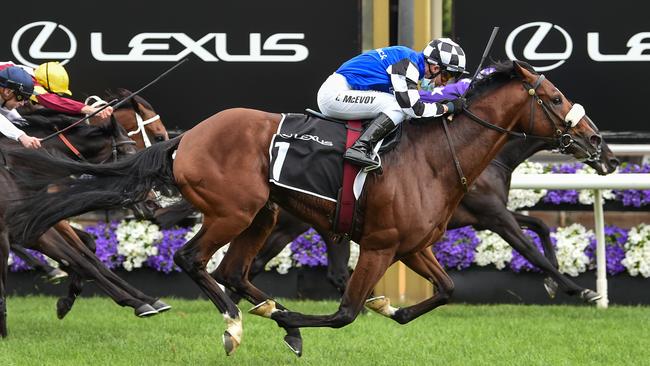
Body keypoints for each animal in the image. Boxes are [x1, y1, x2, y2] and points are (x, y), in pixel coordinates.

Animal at [5, 61, 604, 356]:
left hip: (265, 215)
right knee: (193, 261)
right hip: (235, 210)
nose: (597, 143)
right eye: (553, 98)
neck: (436, 156)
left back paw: (267, 316)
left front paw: (391, 310)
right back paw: (236, 323)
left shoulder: (412, 245)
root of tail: (186, 138)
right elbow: (345, 312)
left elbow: (448, 290)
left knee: (232, 270)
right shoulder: (381, 244)